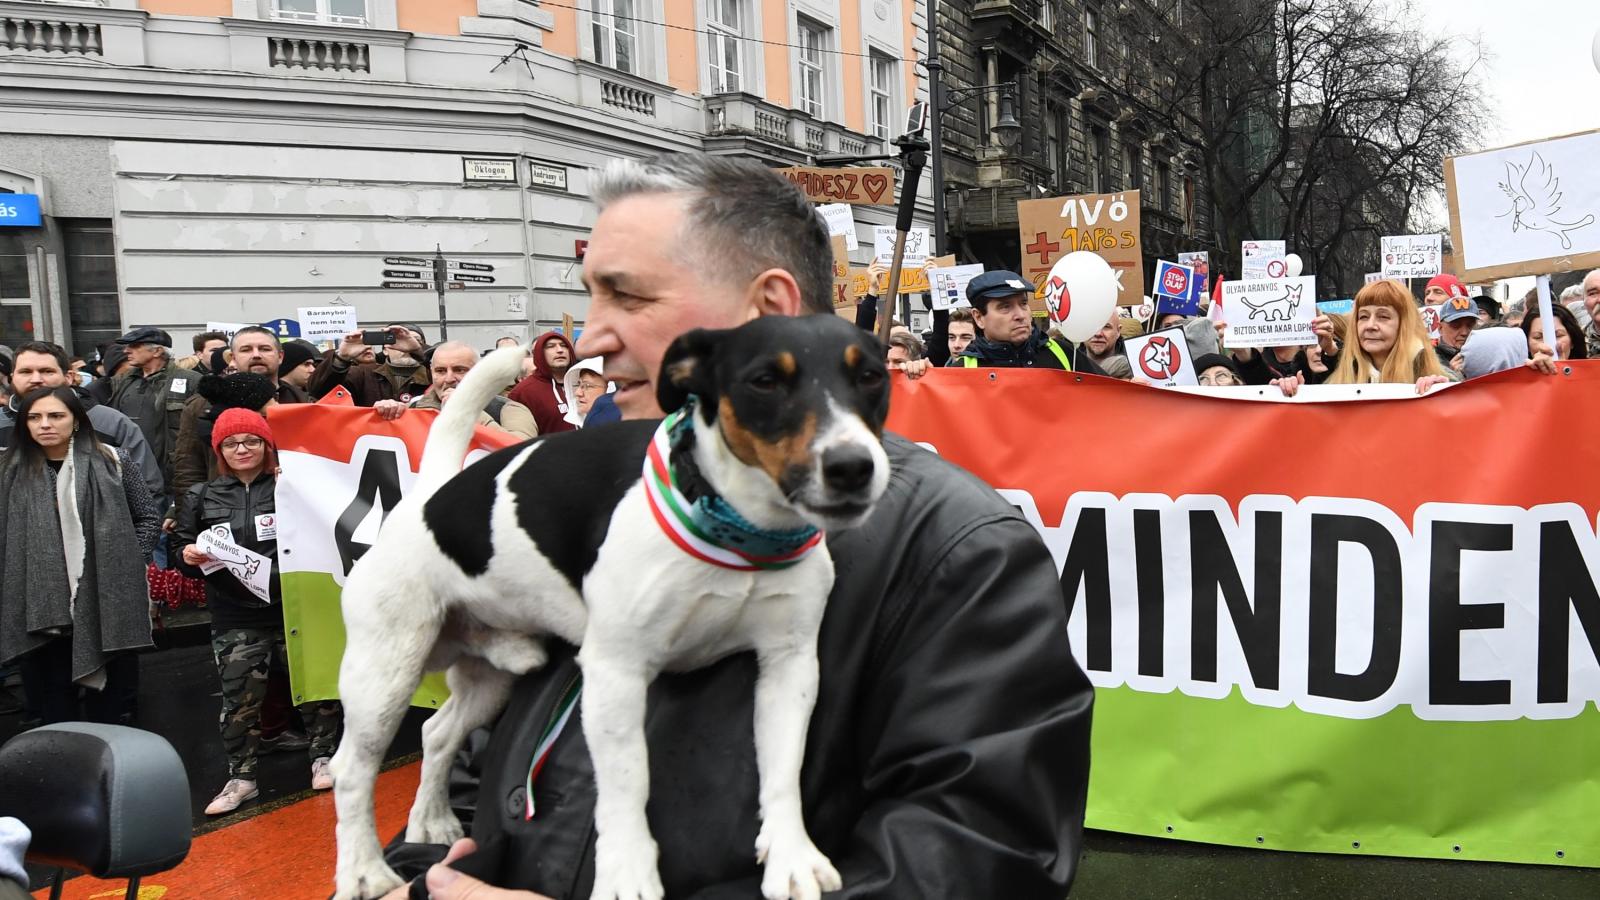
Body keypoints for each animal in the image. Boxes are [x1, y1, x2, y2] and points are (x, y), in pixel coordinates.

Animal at [332, 315, 896, 896]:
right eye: (764, 381)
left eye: (872, 377)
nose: (853, 467)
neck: (738, 527)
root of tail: (430, 494)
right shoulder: (617, 673)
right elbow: (627, 785)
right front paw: (627, 873)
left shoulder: (789, 666)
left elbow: (783, 771)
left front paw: (791, 855)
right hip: (384, 674)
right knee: (352, 770)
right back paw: (363, 870)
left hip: (491, 678)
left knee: (436, 733)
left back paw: (432, 819)